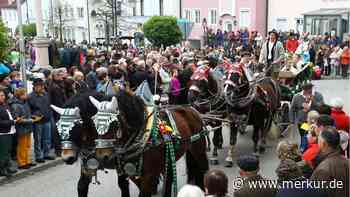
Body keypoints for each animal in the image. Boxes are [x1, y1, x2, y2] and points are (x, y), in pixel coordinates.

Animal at [51, 89, 208, 197]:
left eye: (77, 126)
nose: (67, 157)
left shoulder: (144, 173)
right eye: (57, 127)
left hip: (197, 147)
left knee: (202, 169)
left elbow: (134, 188)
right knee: (169, 178)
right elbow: (82, 186)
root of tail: (190, 108)